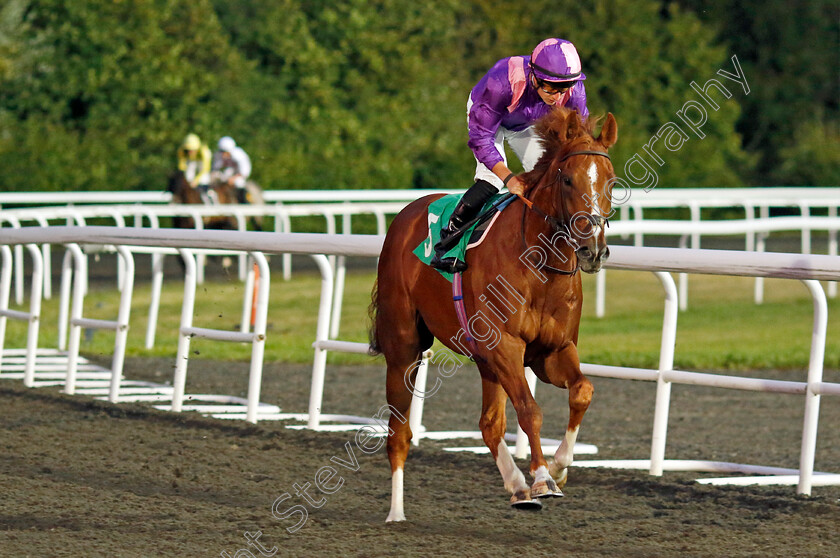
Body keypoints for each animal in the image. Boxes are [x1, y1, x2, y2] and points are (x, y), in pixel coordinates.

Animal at [370, 107, 620, 524]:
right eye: (567, 179)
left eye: (611, 182)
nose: (593, 249)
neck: (541, 267)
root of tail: (406, 214)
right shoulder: (506, 346)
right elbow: (530, 410)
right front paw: (542, 479)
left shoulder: (552, 351)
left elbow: (583, 391)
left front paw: (557, 468)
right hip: (404, 348)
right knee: (399, 432)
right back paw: (395, 512)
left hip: (484, 357)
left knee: (489, 424)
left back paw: (516, 486)